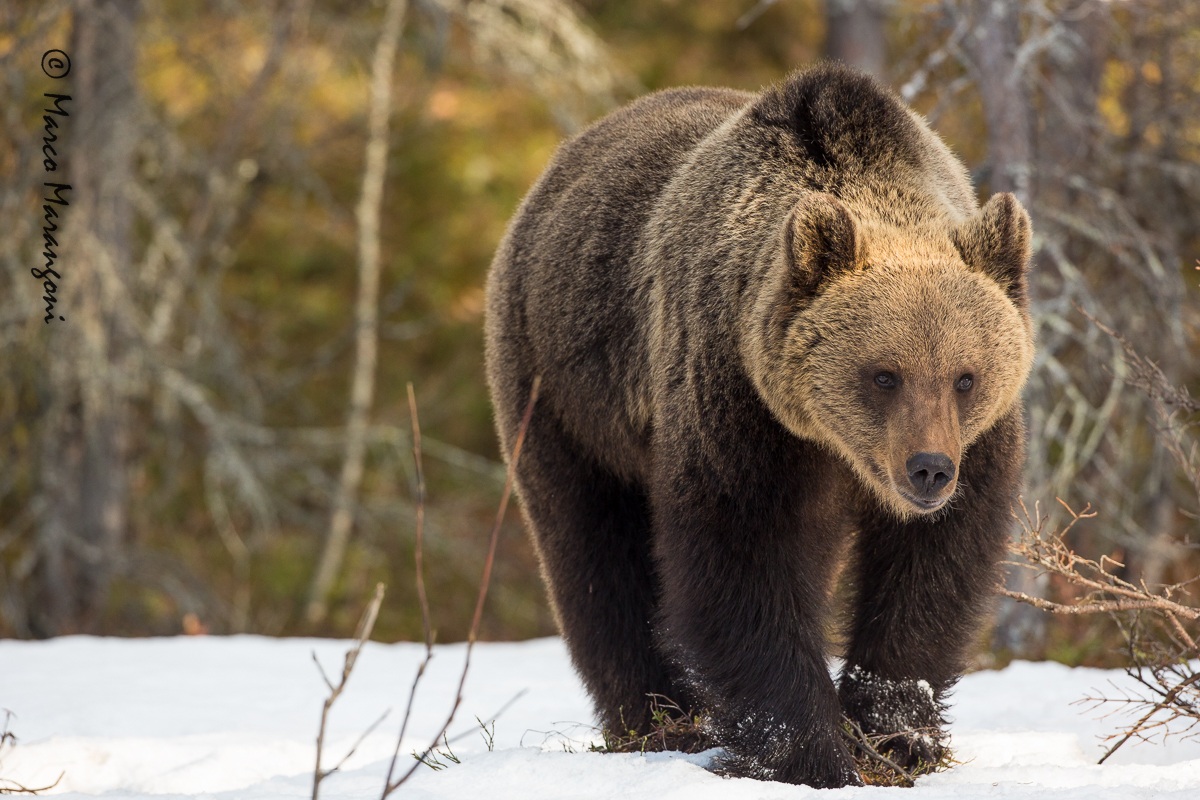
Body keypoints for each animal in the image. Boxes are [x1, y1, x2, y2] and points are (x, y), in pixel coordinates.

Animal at [484, 63, 1034, 788]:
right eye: (884, 374)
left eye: (964, 376)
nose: (928, 470)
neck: (829, 443)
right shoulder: (735, 400)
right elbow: (740, 558)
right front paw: (811, 750)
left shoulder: (977, 444)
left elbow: (935, 564)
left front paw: (894, 734)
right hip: (563, 389)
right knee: (593, 552)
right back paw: (662, 720)